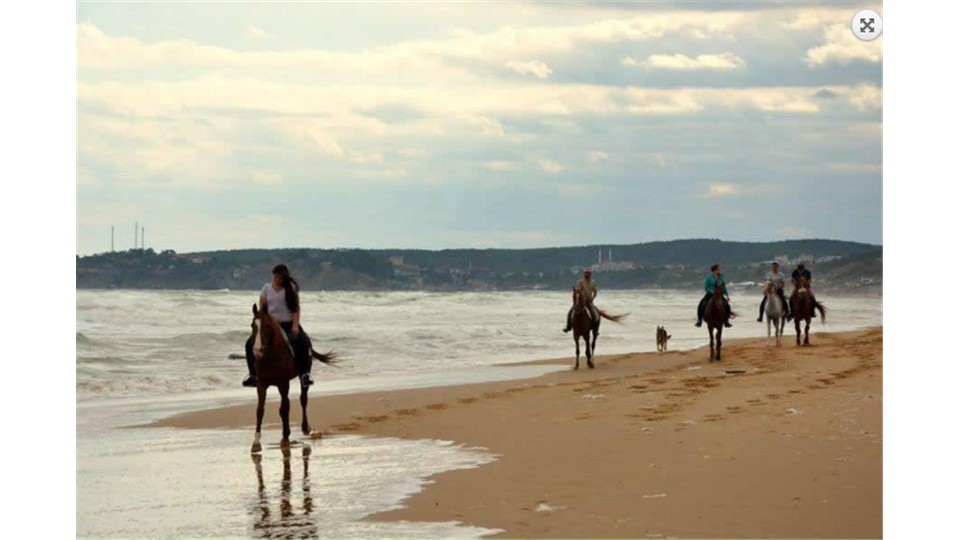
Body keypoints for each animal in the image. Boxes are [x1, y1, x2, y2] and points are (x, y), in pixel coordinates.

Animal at [251, 304, 338, 452]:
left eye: (267, 326)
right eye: (252, 325)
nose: (257, 350)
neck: (271, 357)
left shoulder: (283, 383)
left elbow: (284, 409)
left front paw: (286, 435)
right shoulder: (261, 384)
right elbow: (260, 410)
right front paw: (256, 440)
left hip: (304, 375)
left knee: (303, 399)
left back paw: (305, 427)